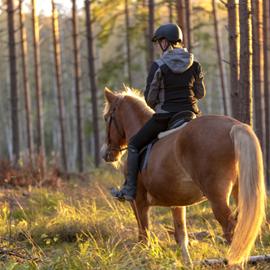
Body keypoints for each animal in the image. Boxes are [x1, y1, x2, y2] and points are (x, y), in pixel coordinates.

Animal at [101, 88, 266, 266]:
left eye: (106, 118)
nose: (107, 154)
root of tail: (234, 126)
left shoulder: (138, 202)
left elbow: (144, 235)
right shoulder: (177, 203)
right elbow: (181, 236)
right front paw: (187, 263)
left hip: (217, 197)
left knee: (230, 230)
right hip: (239, 191)